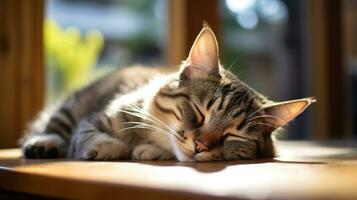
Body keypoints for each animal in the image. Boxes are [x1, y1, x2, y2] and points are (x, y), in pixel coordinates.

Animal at [20, 25, 312, 161]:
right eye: (199, 113)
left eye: (234, 136)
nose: (200, 145)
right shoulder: (100, 115)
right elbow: (87, 132)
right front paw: (108, 146)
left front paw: (148, 151)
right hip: (73, 106)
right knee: (51, 127)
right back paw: (43, 143)